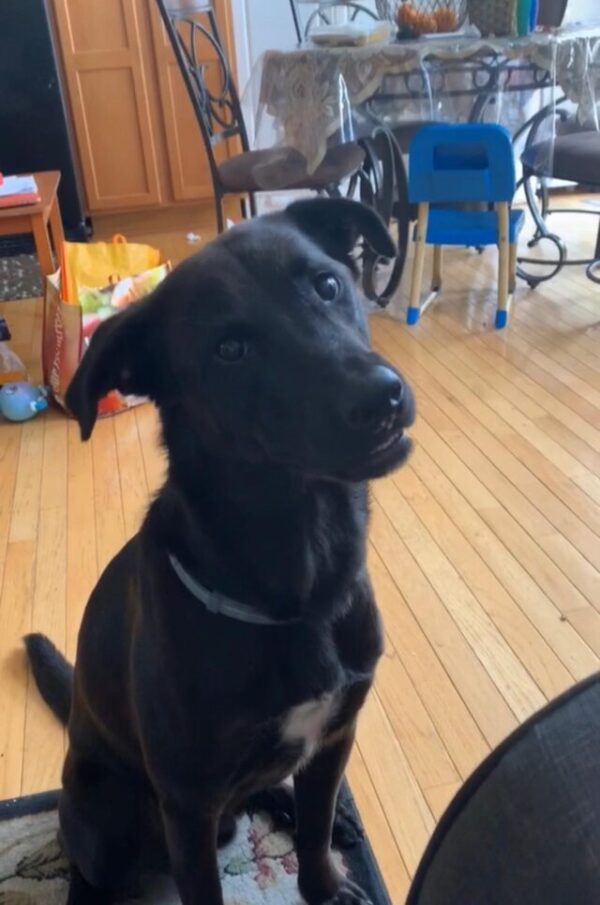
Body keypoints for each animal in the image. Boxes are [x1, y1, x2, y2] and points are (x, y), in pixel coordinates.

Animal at [25, 200, 414, 904]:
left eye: (328, 285)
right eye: (229, 349)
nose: (383, 396)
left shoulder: (335, 735)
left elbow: (316, 825)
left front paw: (325, 882)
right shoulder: (189, 807)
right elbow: (204, 886)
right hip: (107, 812)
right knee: (89, 869)